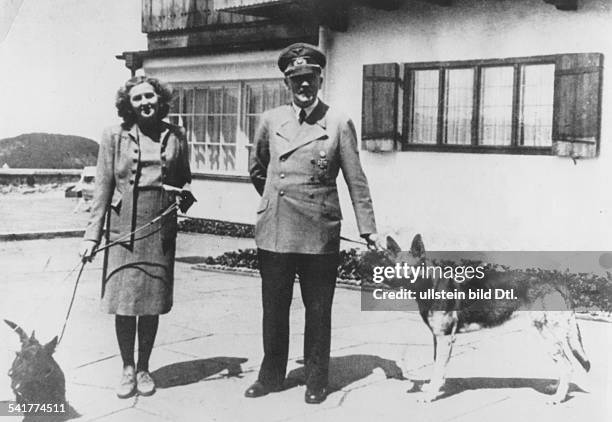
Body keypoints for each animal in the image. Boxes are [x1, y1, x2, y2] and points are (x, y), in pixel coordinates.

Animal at [384, 236, 592, 404]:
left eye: (406, 267)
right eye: (392, 266)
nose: (387, 281)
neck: (431, 284)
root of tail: (555, 282)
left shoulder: (445, 338)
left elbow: (438, 369)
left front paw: (431, 395)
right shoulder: (438, 338)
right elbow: (438, 367)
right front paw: (433, 387)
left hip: (547, 337)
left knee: (567, 366)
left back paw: (558, 397)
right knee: (564, 365)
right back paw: (556, 388)